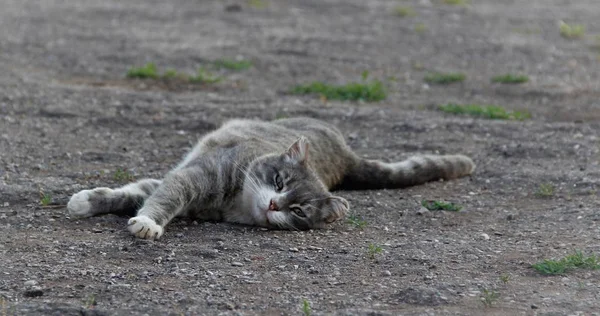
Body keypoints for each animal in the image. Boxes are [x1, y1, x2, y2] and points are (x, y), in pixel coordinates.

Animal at [67, 118, 474, 239]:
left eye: (299, 211)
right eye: (278, 181)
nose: (276, 203)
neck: (232, 202)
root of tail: (347, 156)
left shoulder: (189, 188)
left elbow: (150, 196)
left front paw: (146, 222)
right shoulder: (190, 177)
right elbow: (140, 193)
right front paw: (89, 201)